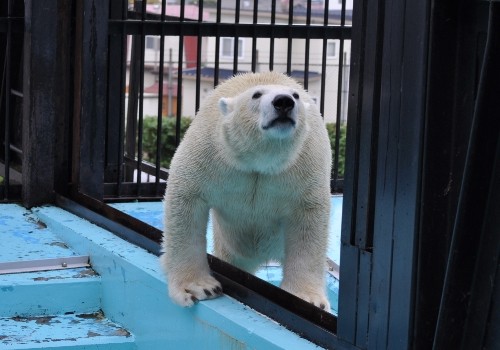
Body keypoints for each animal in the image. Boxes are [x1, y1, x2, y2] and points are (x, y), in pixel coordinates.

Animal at [160, 71, 332, 308]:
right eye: (256, 95)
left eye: (296, 95)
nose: (284, 102)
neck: (260, 163)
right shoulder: (212, 153)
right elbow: (186, 198)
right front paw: (199, 288)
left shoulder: (304, 165)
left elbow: (309, 219)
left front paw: (307, 298)